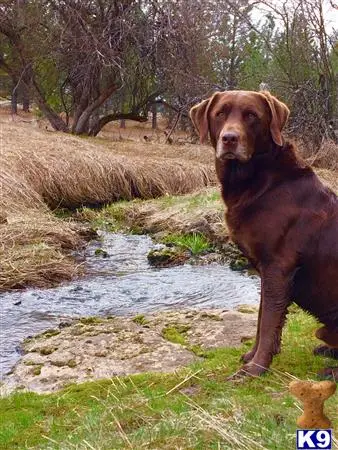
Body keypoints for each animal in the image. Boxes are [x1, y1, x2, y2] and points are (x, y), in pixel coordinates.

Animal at [190, 91, 338, 380]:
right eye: (220, 113)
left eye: (251, 116)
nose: (229, 138)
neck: (259, 182)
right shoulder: (263, 269)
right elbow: (261, 320)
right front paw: (251, 357)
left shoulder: (278, 267)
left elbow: (269, 322)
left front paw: (255, 369)